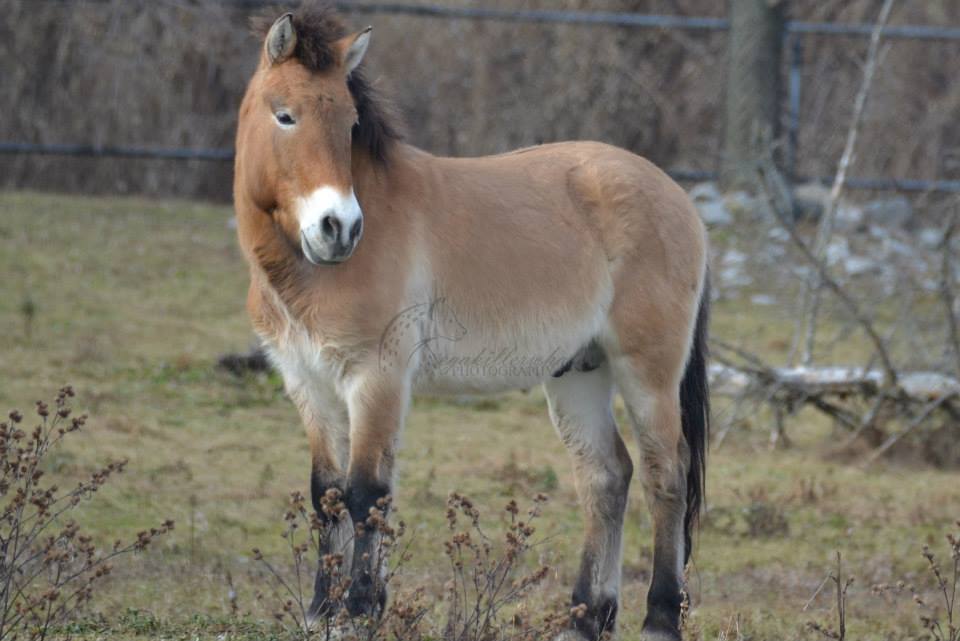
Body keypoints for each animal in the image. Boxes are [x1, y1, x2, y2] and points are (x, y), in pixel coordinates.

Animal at [234, 3, 709, 639]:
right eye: (284, 115)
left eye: (350, 124)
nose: (339, 228)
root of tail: (680, 199)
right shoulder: (308, 383)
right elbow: (327, 495)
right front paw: (322, 612)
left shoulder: (376, 378)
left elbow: (367, 495)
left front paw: (358, 612)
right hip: (579, 372)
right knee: (606, 476)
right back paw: (583, 619)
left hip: (647, 373)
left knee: (666, 475)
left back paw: (659, 617)